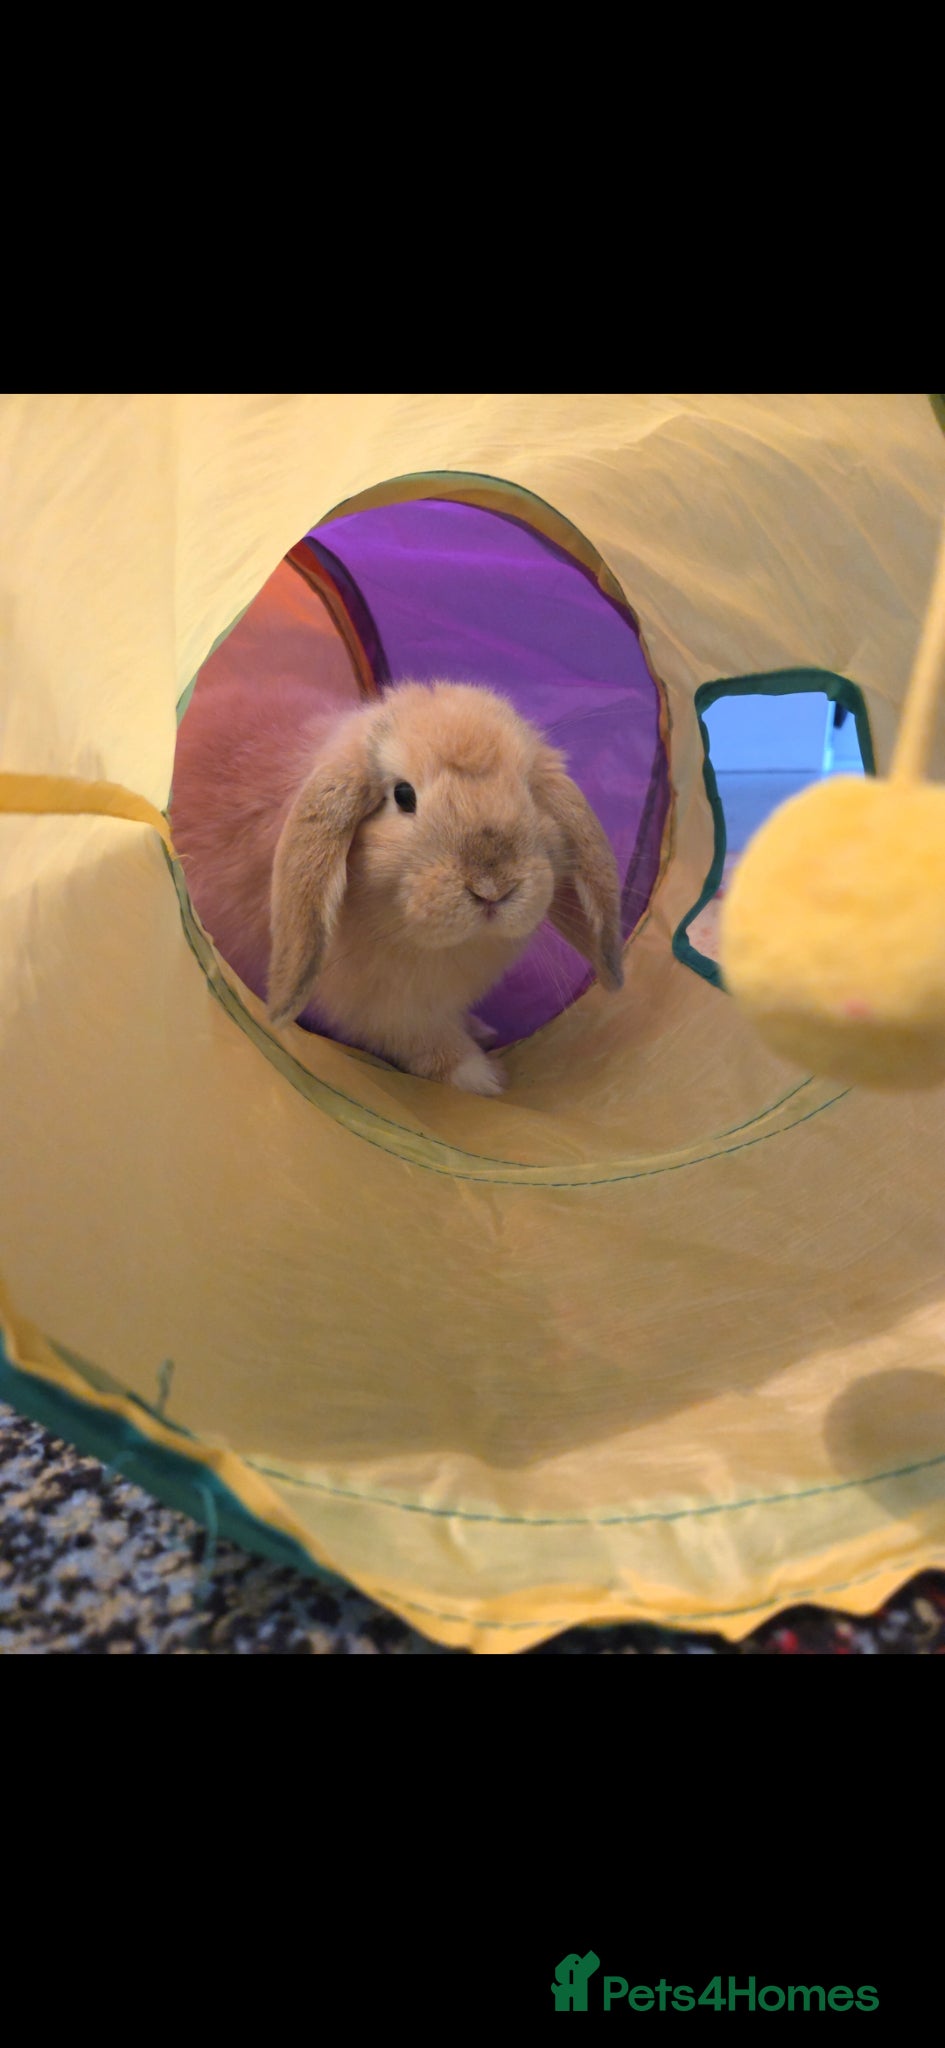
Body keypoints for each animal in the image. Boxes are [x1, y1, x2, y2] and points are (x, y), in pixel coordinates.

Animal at [170, 675, 624, 1094]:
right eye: (403, 796)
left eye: (529, 791)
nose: (492, 887)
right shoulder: (386, 1012)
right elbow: (426, 1045)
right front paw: (483, 1078)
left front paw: (481, 1030)